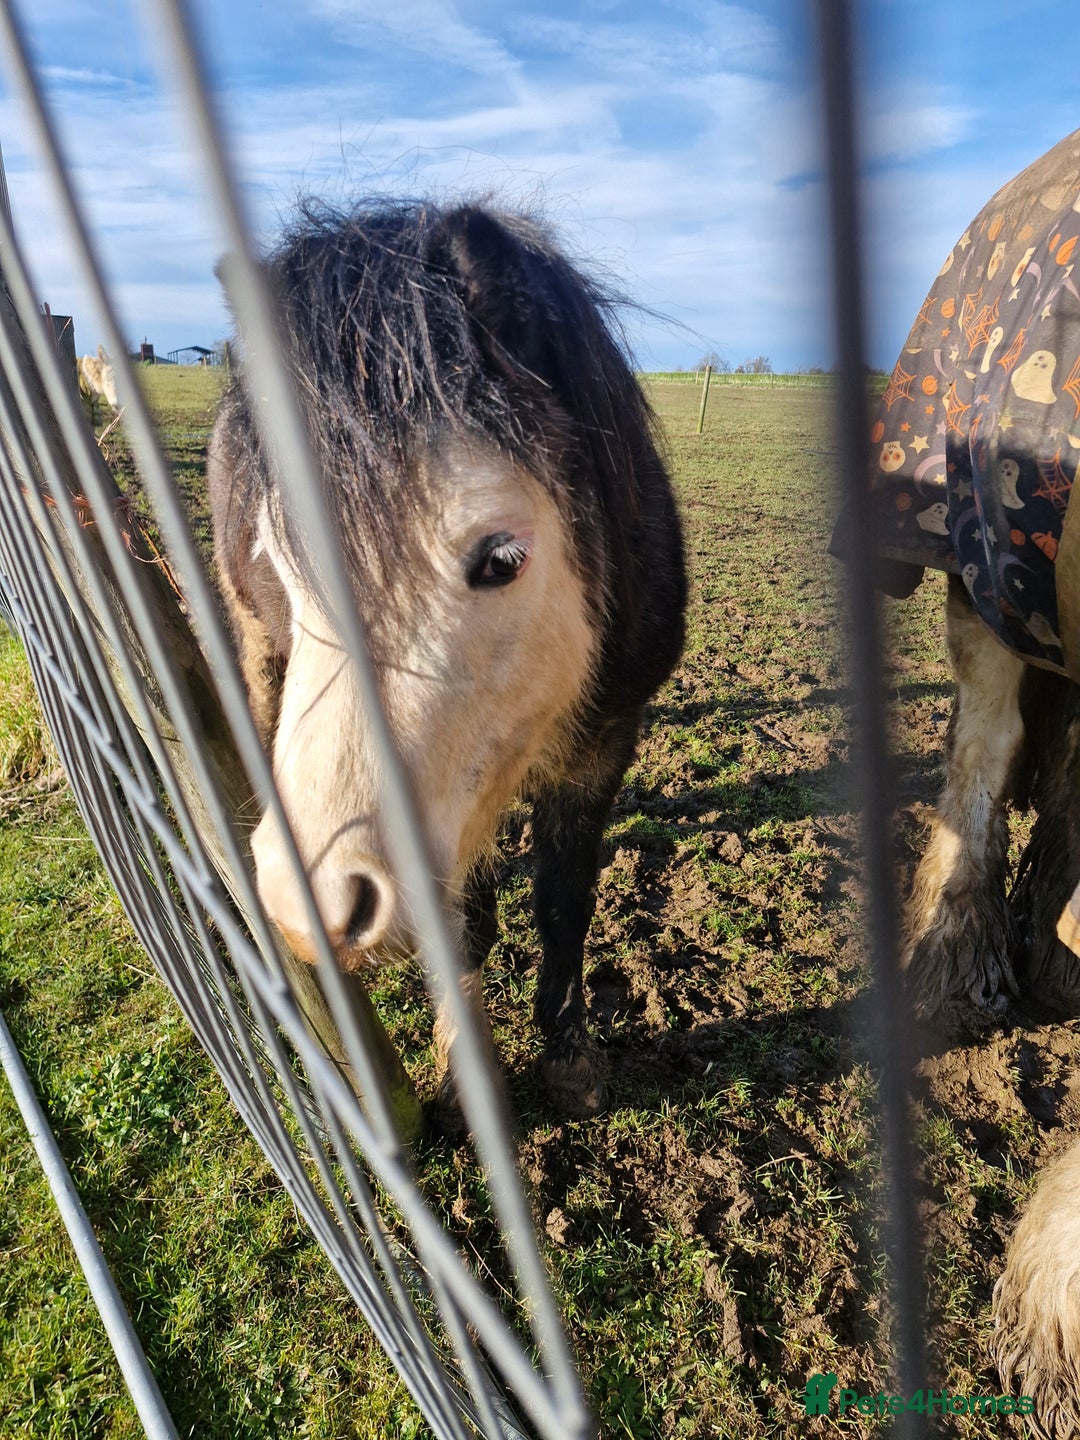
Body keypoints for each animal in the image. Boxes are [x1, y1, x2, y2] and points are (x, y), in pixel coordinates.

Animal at [208, 199, 687, 1121]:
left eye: (503, 558)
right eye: (281, 559)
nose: (310, 904)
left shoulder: (605, 739)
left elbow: (564, 902)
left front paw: (569, 1057)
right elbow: (463, 925)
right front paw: (468, 1065)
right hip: (255, 650)